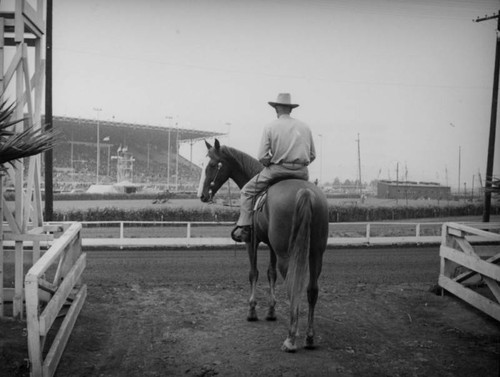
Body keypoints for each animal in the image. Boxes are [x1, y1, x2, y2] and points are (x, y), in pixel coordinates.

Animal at [197, 139, 330, 352]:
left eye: (212, 165)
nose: (202, 195)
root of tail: (306, 192)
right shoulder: (272, 246)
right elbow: (271, 273)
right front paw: (271, 310)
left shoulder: (252, 241)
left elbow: (254, 273)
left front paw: (252, 310)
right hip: (316, 253)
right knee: (312, 290)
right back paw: (309, 337)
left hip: (287, 255)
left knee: (293, 286)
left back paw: (291, 337)